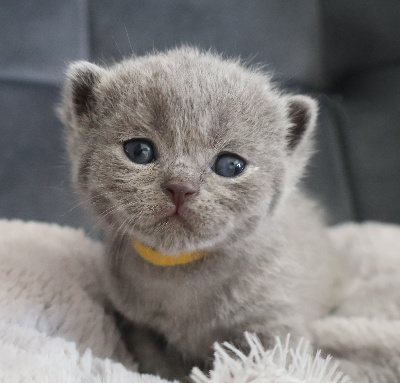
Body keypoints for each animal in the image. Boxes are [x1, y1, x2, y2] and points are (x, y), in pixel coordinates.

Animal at [57, 48, 346, 380]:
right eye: (139, 151)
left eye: (230, 165)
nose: (180, 187)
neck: (179, 273)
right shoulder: (136, 323)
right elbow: (155, 361)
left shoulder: (277, 321)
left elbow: (264, 366)